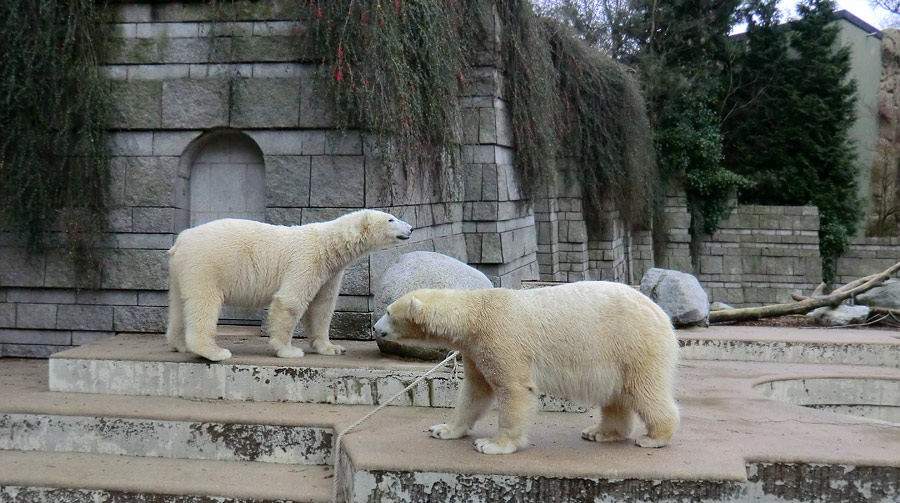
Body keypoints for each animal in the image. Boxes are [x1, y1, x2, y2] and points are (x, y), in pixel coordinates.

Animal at [167, 210, 414, 362]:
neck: (327, 245)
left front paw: (332, 348)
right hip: (206, 265)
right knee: (204, 303)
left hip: (180, 271)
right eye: (391, 219)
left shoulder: (330, 273)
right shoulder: (306, 261)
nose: (411, 228)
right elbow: (290, 302)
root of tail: (181, 241)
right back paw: (214, 351)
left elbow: (322, 308)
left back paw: (178, 344)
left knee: (178, 305)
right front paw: (289, 350)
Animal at [374, 284, 684, 456]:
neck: (475, 313)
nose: (375, 328)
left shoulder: (501, 339)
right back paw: (600, 432)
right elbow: (475, 391)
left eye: (388, 312)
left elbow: (513, 389)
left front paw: (492, 445)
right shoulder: (475, 350)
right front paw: (443, 429)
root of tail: (661, 314)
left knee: (644, 390)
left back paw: (654, 437)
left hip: (633, 344)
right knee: (615, 395)